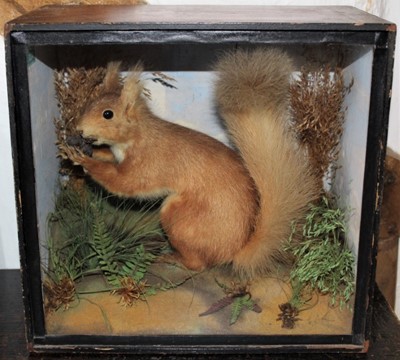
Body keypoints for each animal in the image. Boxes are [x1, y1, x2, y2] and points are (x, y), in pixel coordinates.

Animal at [62, 48, 318, 278]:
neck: (138, 135)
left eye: (108, 114)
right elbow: (109, 159)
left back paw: (173, 258)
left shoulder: (148, 163)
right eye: (89, 103)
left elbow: (123, 181)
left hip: (179, 219)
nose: (78, 129)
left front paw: (83, 159)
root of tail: (233, 251)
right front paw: (86, 150)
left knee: (199, 265)